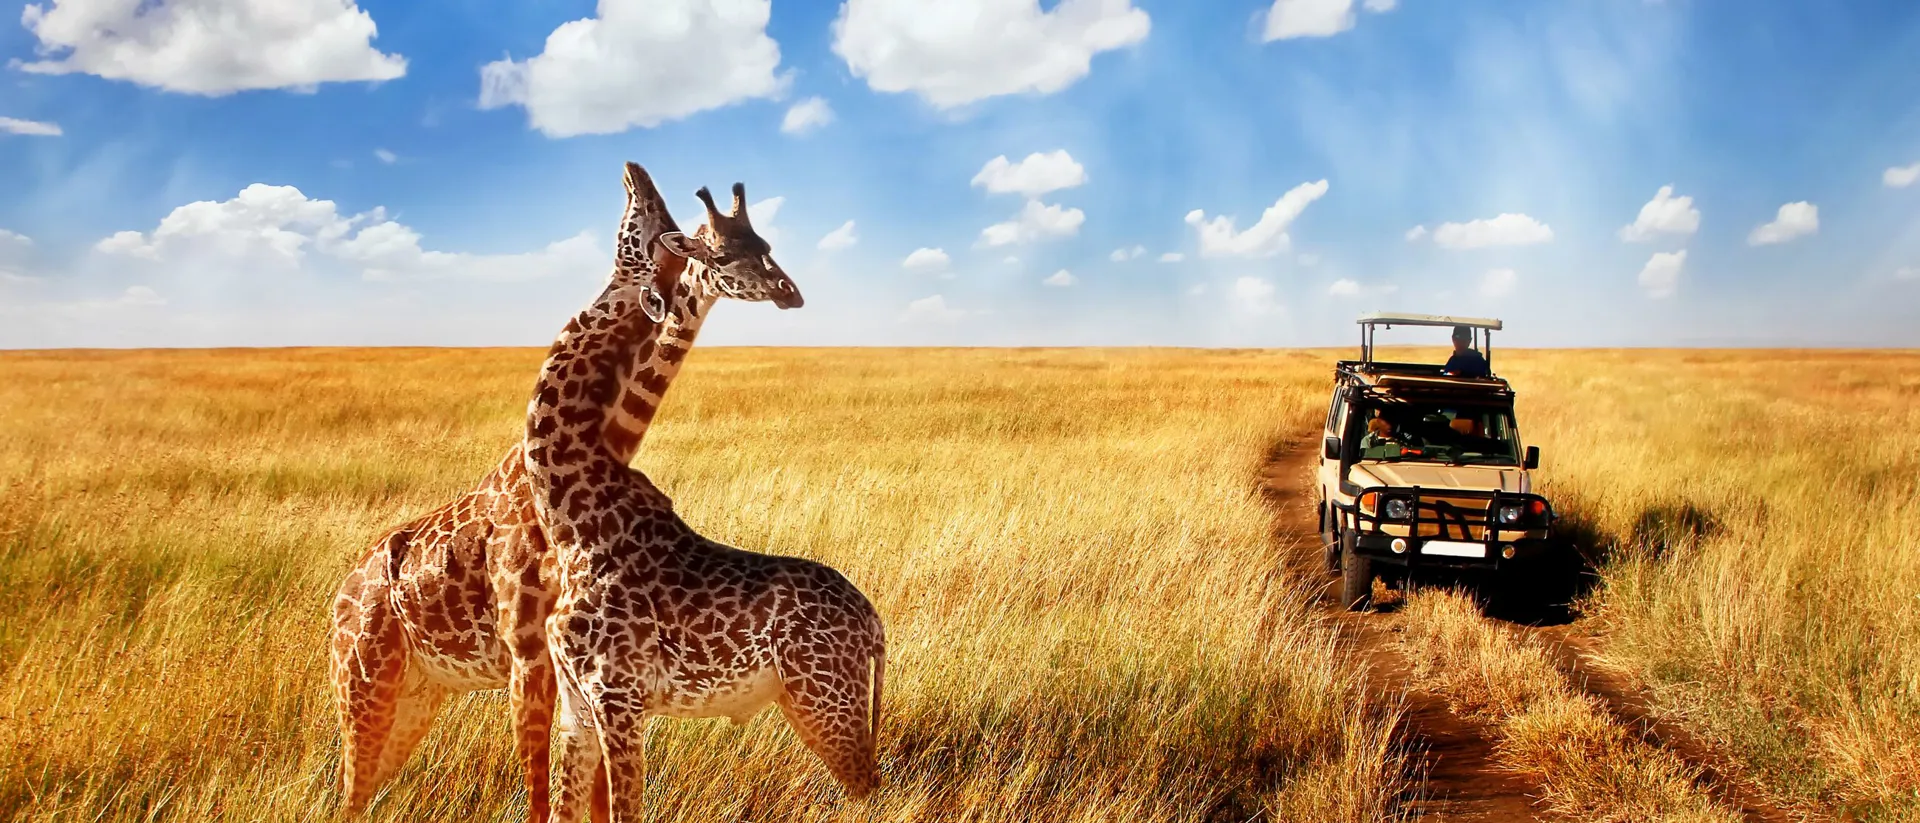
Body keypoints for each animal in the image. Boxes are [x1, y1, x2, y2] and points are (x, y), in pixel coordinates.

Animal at [328, 163, 800, 820]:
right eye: (724, 251)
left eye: (765, 245)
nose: (789, 292)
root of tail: (342, 593)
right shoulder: (531, 655)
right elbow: (545, 794)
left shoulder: (572, 665)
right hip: (364, 685)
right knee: (347, 791)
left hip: (417, 694)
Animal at [523, 175, 886, 823]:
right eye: (721, 253)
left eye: (764, 246)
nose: (790, 293)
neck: (571, 521)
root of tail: (874, 622)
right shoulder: (577, 703)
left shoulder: (619, 696)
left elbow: (625, 809)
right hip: (814, 701)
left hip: (826, 699)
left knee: (872, 789)